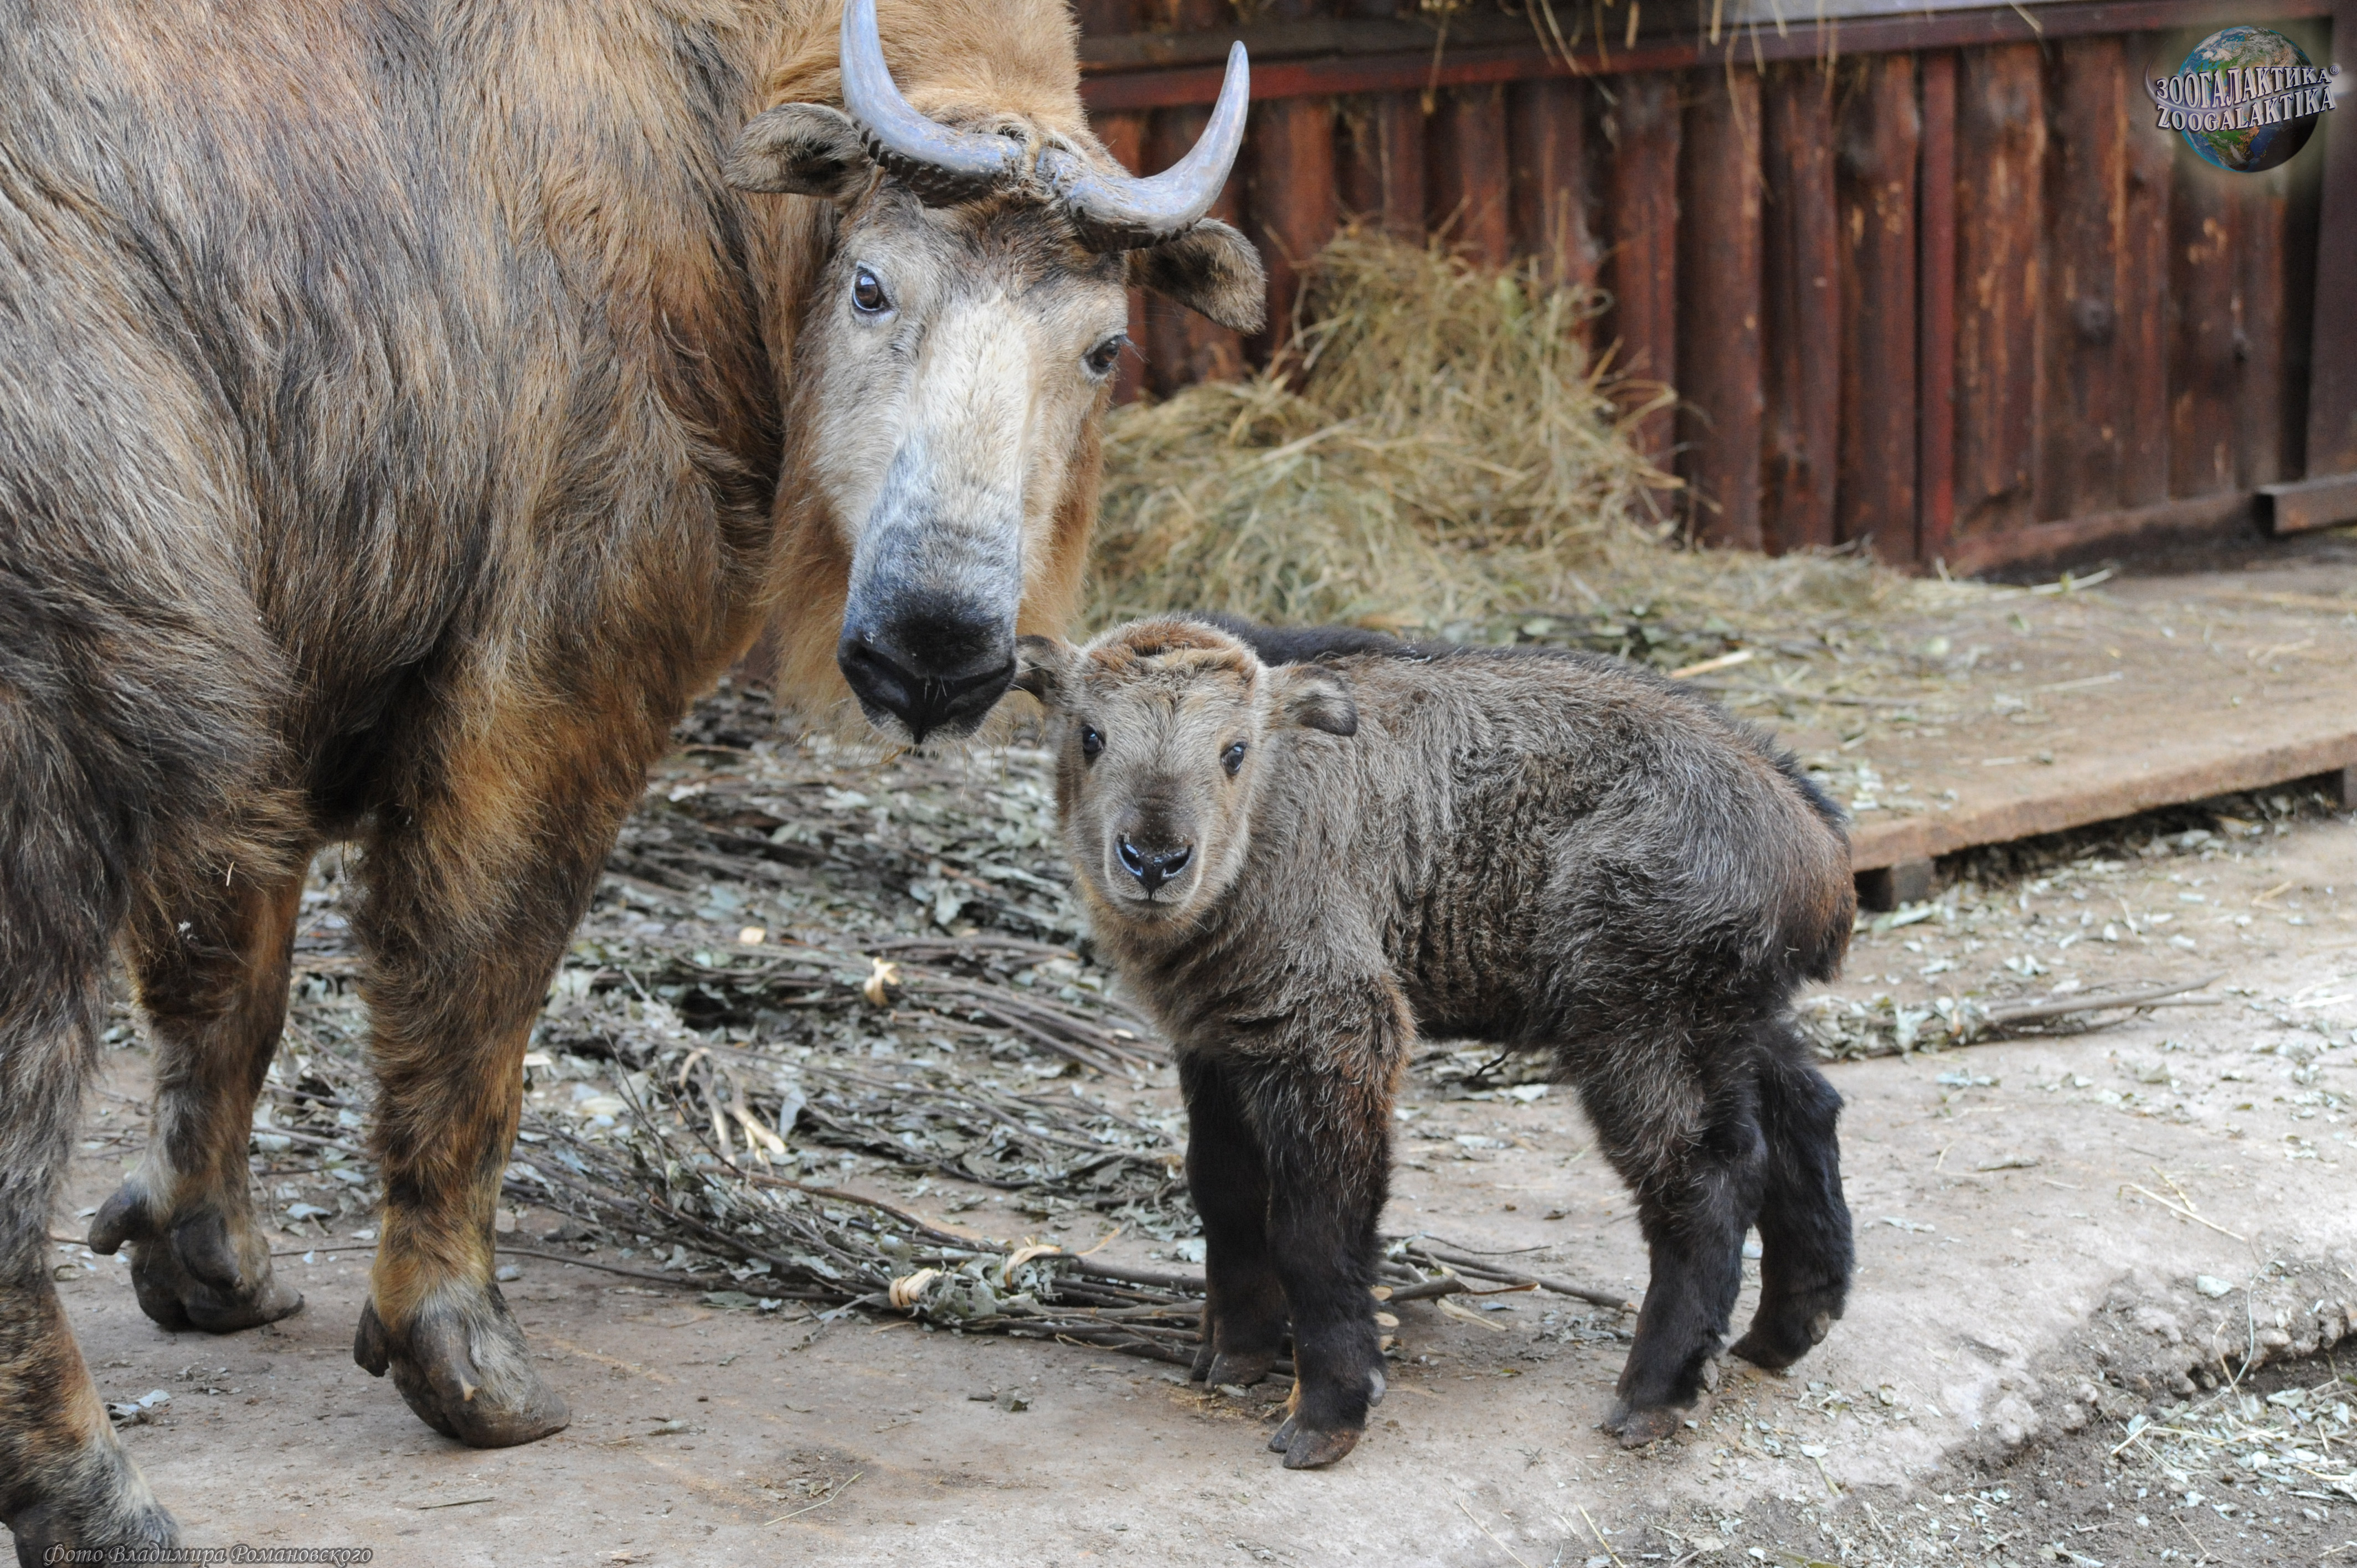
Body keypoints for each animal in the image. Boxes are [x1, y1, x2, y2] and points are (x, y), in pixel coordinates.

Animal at [1013, 622, 1857, 1471]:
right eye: (1091, 736)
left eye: (1234, 751)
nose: (1154, 861)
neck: (1261, 827)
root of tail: (1820, 846)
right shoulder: (1218, 1038)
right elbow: (1222, 1191)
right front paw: (1238, 1353)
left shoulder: (1336, 1031)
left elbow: (1313, 1229)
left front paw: (1331, 1409)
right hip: (1725, 1020)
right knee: (1802, 1111)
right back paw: (1792, 1322)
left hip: (1635, 1020)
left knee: (1707, 1179)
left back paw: (1657, 1392)